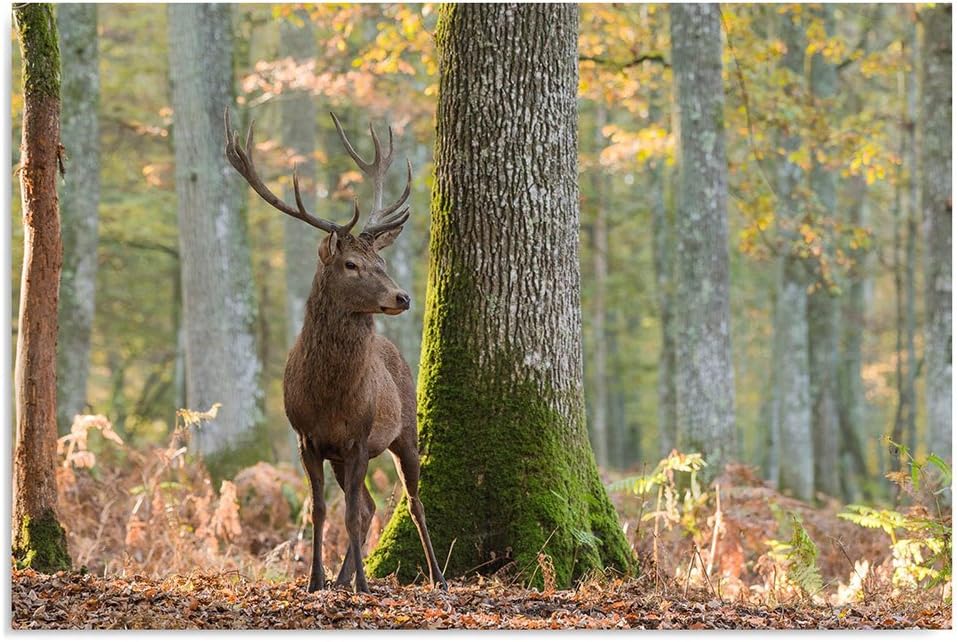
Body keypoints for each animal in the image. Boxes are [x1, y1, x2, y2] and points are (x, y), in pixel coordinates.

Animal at [224, 108, 447, 594]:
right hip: (346, 456)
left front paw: (362, 583)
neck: (329, 396)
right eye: (351, 264)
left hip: (406, 430)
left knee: (411, 502)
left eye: (382, 262)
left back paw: (436, 577)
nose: (402, 297)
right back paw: (343, 577)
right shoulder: (307, 438)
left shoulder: (359, 437)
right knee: (368, 505)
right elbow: (320, 510)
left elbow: (347, 513)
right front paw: (315, 580)